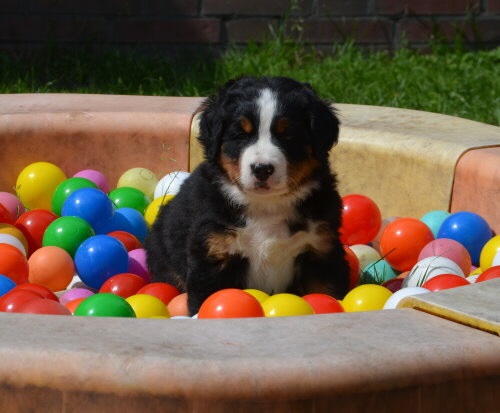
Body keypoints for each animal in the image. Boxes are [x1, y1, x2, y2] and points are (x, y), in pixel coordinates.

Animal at [145, 76, 350, 315]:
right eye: (241, 135)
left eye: (288, 135)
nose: (262, 169)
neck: (267, 206)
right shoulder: (212, 255)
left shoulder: (321, 252)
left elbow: (328, 292)